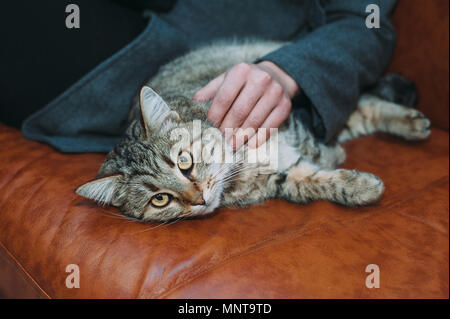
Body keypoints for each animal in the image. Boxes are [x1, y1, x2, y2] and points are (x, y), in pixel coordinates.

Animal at [75, 41, 430, 222]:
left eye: (185, 162)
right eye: (160, 200)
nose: (199, 200)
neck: (240, 160)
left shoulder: (289, 120)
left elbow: (317, 146)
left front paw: (333, 156)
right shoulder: (284, 178)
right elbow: (315, 183)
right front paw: (360, 187)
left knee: (362, 102)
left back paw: (411, 119)